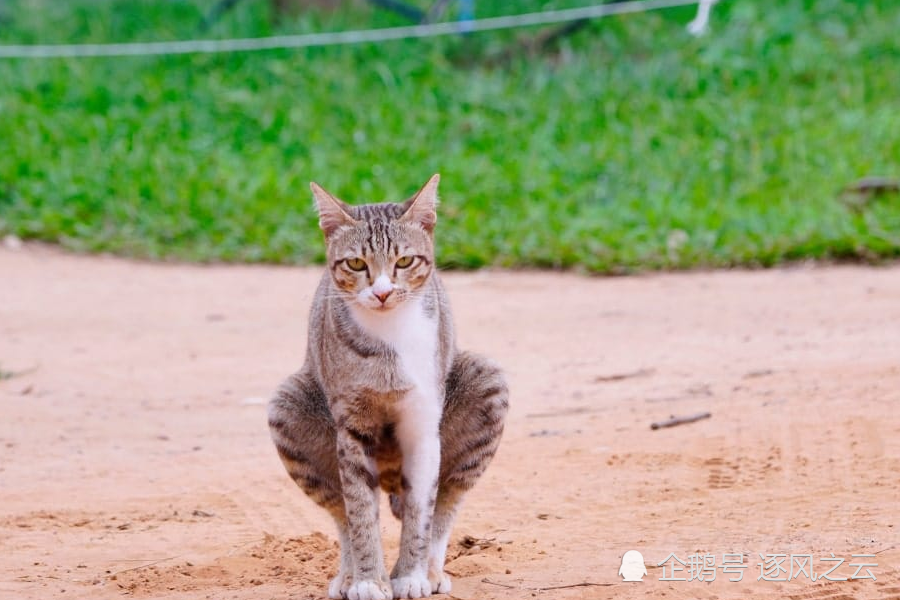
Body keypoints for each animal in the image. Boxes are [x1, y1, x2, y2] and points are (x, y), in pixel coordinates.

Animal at [268, 175, 510, 600]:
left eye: (405, 261)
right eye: (356, 263)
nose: (382, 292)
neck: (388, 342)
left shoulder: (424, 424)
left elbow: (421, 511)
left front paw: (411, 575)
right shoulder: (350, 424)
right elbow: (360, 511)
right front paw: (368, 579)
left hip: (486, 382)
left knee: (447, 499)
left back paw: (431, 570)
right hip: (287, 406)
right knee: (339, 508)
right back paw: (348, 575)